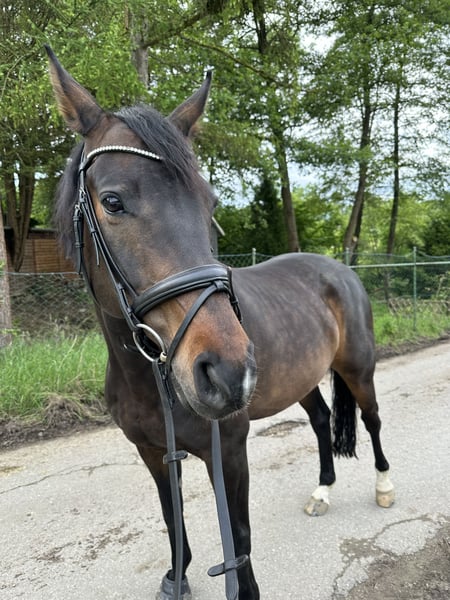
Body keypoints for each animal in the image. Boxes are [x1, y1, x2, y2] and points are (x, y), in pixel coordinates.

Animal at [46, 46, 394, 600]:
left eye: (209, 203)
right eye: (113, 201)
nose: (228, 372)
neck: (152, 382)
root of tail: (340, 269)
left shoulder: (228, 451)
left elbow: (240, 538)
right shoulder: (151, 452)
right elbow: (173, 519)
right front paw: (177, 576)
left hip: (358, 368)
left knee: (372, 419)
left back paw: (384, 486)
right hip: (302, 379)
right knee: (321, 421)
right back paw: (322, 491)